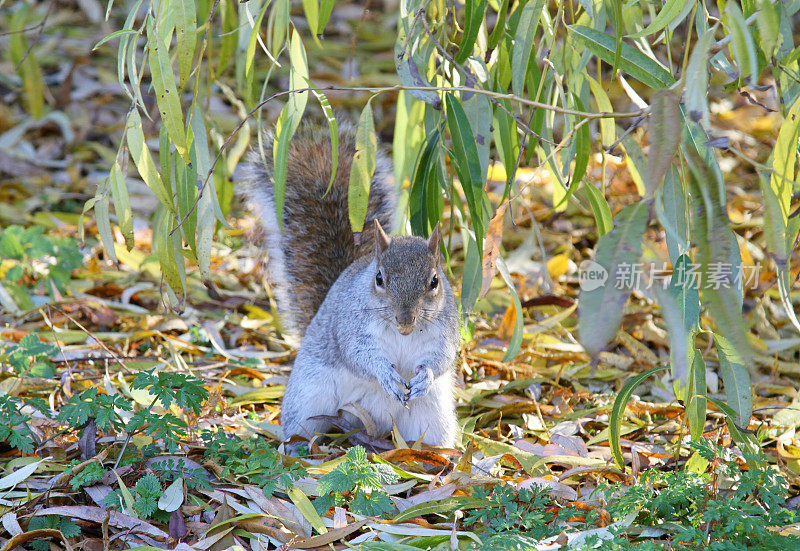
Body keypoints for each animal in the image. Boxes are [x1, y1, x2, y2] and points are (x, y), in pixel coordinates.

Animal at [241, 123, 460, 450]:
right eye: (379, 279)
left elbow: (443, 357)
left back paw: (438, 456)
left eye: (434, 281)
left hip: (432, 418)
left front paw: (426, 376)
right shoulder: (351, 326)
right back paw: (293, 446)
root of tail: (371, 423)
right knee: (301, 424)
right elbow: (359, 354)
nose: (405, 319)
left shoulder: (446, 329)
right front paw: (385, 374)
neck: (403, 335)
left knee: (430, 437)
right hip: (309, 397)